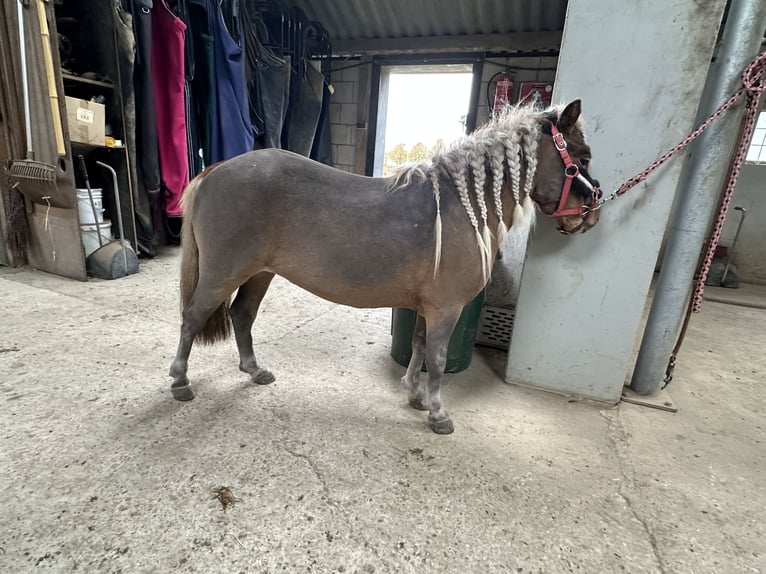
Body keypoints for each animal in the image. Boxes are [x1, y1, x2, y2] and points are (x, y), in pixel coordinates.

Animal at [171, 99, 604, 434]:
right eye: (582, 159)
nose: (592, 213)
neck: (462, 207)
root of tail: (215, 170)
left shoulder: (428, 307)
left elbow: (419, 346)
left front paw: (415, 395)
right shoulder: (446, 309)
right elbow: (438, 359)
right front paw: (438, 413)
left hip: (259, 273)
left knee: (242, 315)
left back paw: (254, 370)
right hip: (222, 274)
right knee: (192, 317)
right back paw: (180, 381)